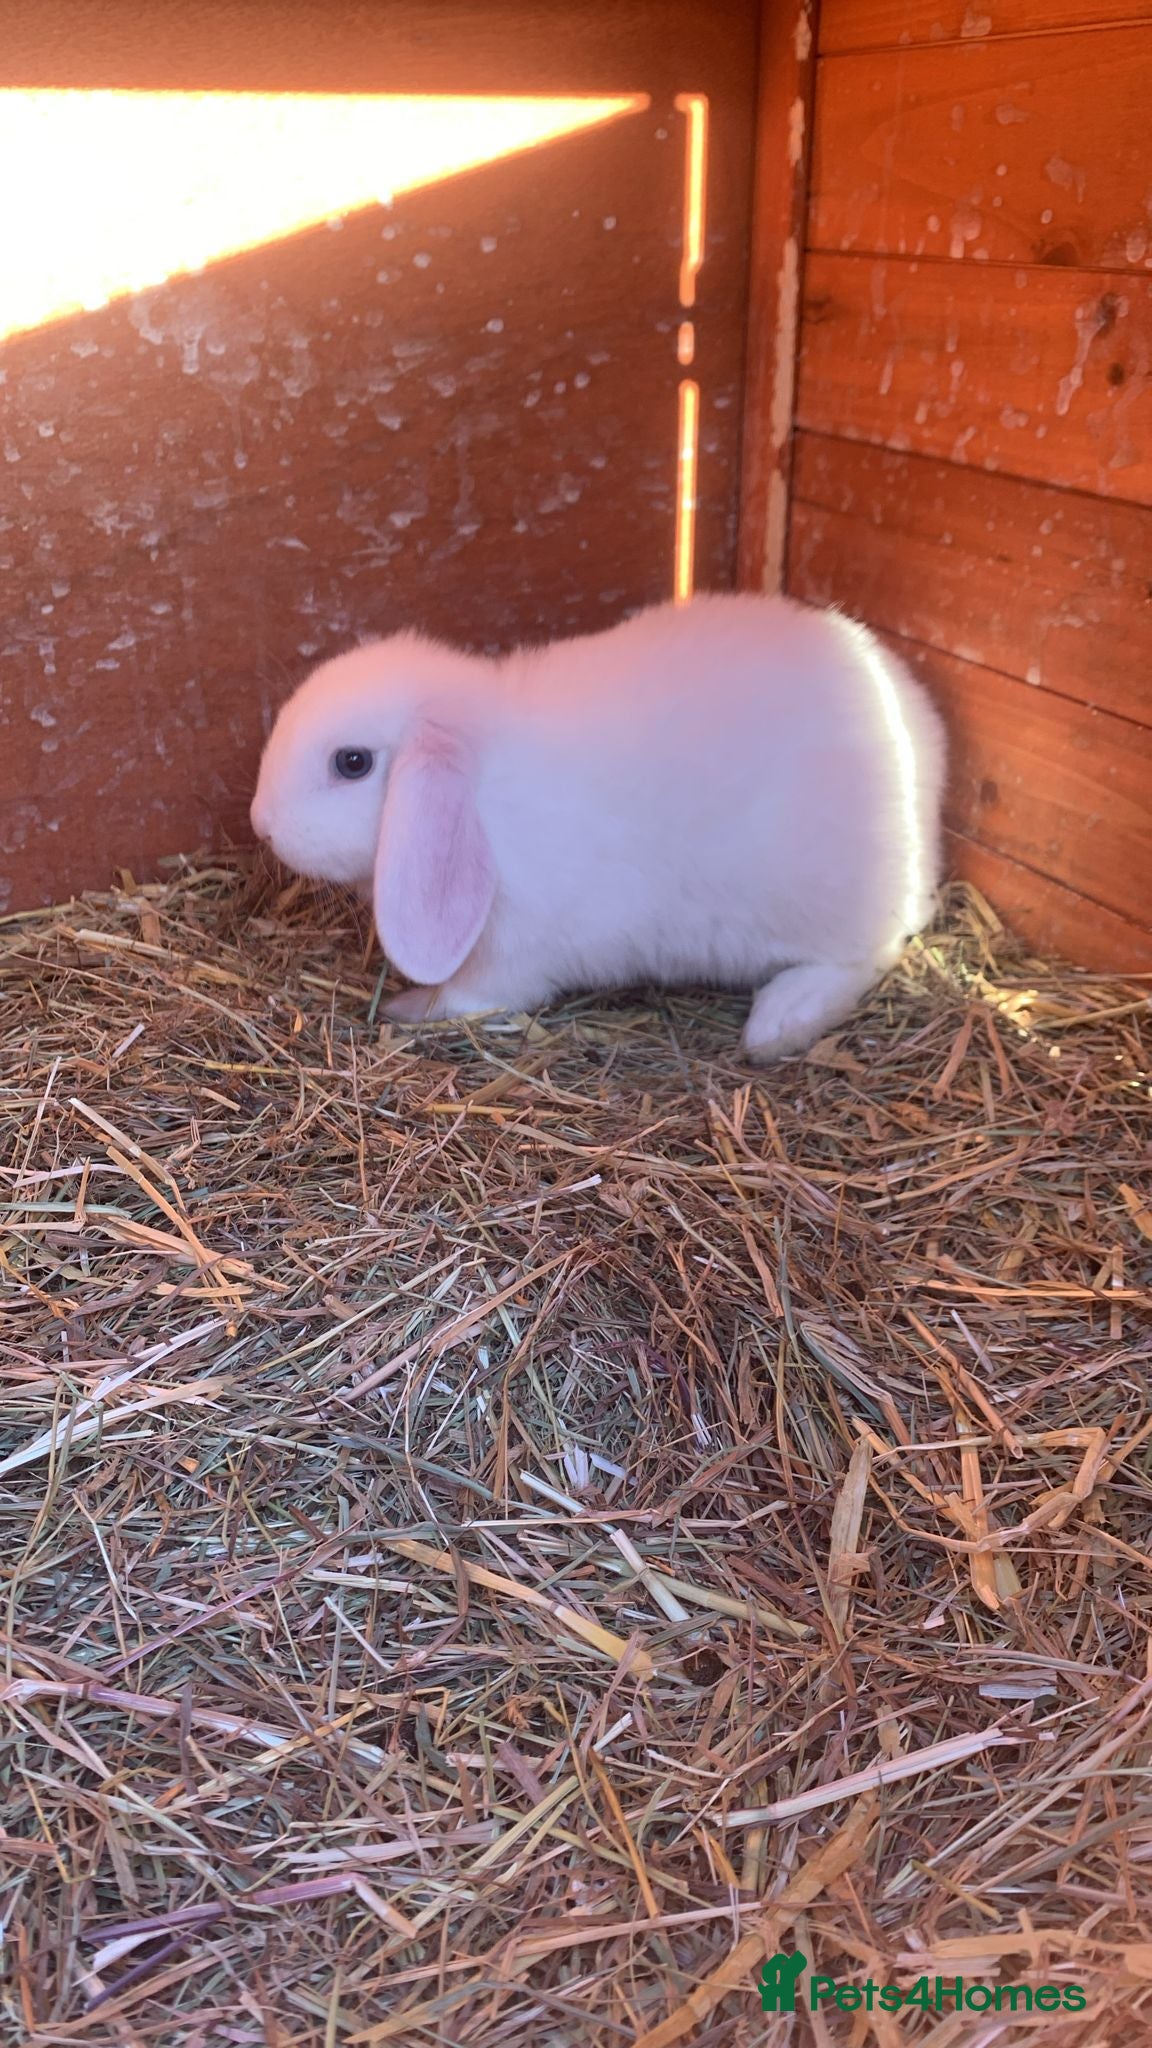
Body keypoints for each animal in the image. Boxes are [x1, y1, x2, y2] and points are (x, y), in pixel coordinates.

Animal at [249, 593, 946, 1060]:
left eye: (352, 763)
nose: (261, 822)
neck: (482, 794)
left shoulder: (511, 954)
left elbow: (471, 998)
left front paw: (404, 1009)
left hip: (825, 901)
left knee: (869, 954)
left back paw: (777, 1025)